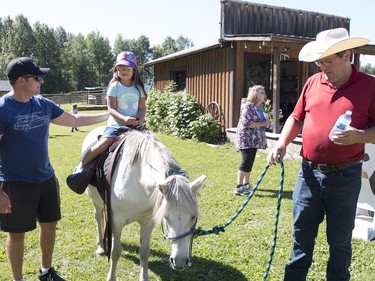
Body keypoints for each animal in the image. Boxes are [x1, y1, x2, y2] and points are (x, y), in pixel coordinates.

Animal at [82, 127, 207, 280]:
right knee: (99, 217)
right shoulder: (117, 221)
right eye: (166, 217)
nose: (179, 262)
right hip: (96, 201)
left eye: (194, 216)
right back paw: (100, 247)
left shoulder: (148, 222)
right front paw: (111, 277)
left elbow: (144, 251)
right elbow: (115, 251)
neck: (139, 181)